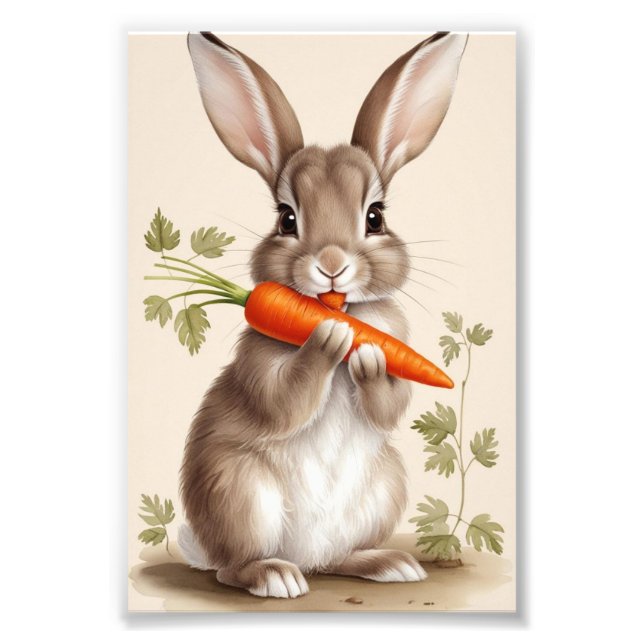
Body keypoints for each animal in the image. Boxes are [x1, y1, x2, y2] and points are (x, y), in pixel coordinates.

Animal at [178, 31, 467, 598]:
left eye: (375, 217)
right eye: (286, 219)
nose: (332, 264)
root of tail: (303, 557)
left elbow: (390, 402)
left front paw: (368, 361)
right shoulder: (260, 358)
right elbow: (281, 399)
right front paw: (330, 339)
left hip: (383, 486)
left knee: (337, 559)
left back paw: (388, 565)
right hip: (239, 489)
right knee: (231, 567)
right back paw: (273, 576)